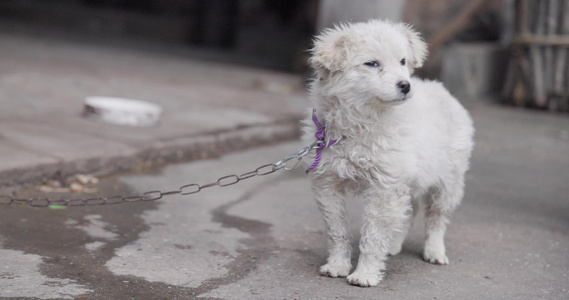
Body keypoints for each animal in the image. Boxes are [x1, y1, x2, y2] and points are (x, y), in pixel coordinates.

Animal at [302, 19, 474, 288]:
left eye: (403, 61)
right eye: (372, 63)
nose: (406, 85)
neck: (360, 124)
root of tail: (441, 89)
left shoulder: (384, 187)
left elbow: (372, 236)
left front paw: (365, 274)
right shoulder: (327, 183)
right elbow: (337, 230)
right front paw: (338, 265)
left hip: (448, 183)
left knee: (436, 218)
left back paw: (435, 251)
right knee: (408, 213)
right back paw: (393, 245)